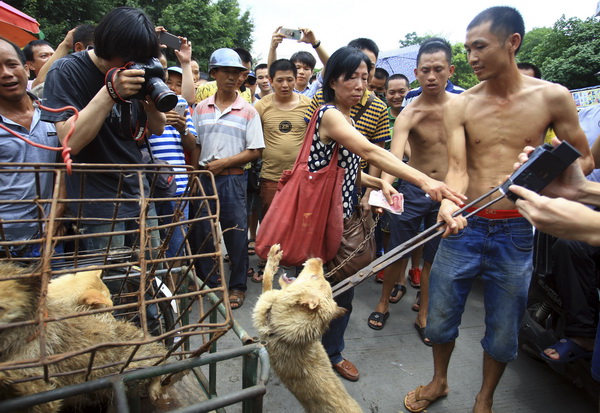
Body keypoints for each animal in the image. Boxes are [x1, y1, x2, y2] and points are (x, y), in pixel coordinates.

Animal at [252, 245, 360, 412]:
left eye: (314, 277)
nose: (321, 259)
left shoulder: (265, 302)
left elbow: (266, 278)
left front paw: (272, 258)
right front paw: (275, 256)